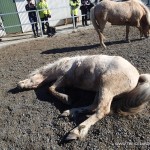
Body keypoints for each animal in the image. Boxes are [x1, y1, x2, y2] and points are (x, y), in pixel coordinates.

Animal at [17, 55, 150, 141]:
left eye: (29, 79)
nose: (18, 84)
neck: (64, 65)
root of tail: (137, 76)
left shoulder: (64, 77)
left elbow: (50, 88)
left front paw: (66, 98)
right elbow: (51, 88)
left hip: (106, 86)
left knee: (102, 110)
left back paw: (76, 131)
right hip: (100, 89)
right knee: (93, 106)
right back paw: (70, 112)